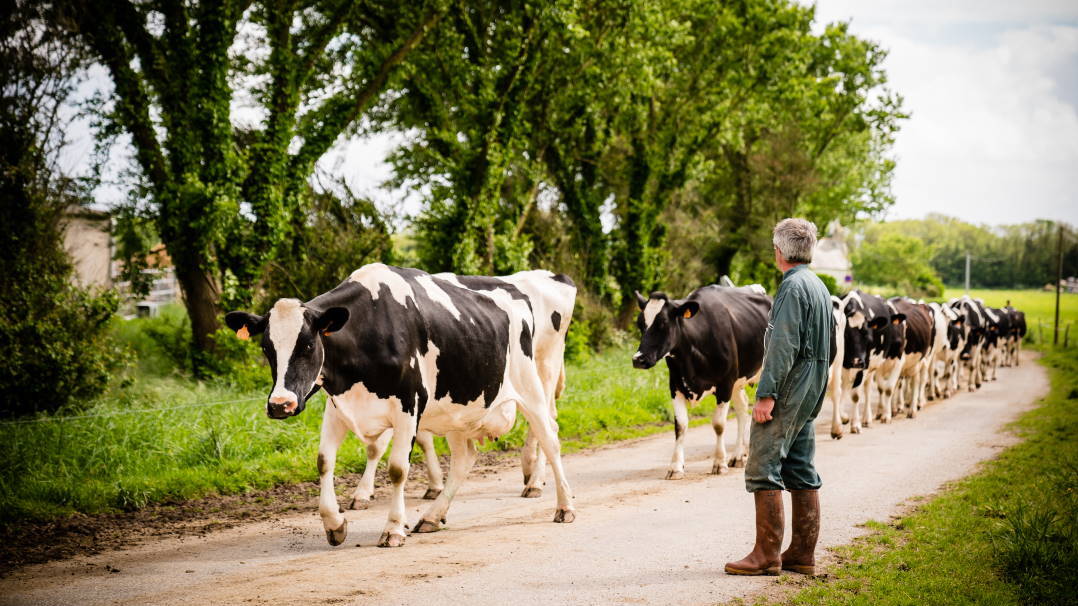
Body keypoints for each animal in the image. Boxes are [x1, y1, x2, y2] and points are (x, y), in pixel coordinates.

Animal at [226, 262, 577, 545]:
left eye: (309, 345)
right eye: (267, 348)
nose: (280, 404)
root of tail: (516, 287)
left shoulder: (409, 404)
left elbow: (397, 468)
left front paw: (393, 528)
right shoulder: (337, 406)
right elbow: (324, 461)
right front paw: (334, 523)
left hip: (533, 383)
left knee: (549, 436)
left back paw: (562, 504)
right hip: (458, 409)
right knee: (464, 458)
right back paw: (433, 516)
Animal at [629, 282, 771, 476]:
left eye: (663, 323)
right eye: (640, 324)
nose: (638, 359)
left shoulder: (725, 384)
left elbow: (718, 424)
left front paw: (719, 463)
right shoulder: (675, 385)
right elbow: (680, 426)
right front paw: (675, 467)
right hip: (737, 382)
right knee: (742, 407)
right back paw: (738, 456)